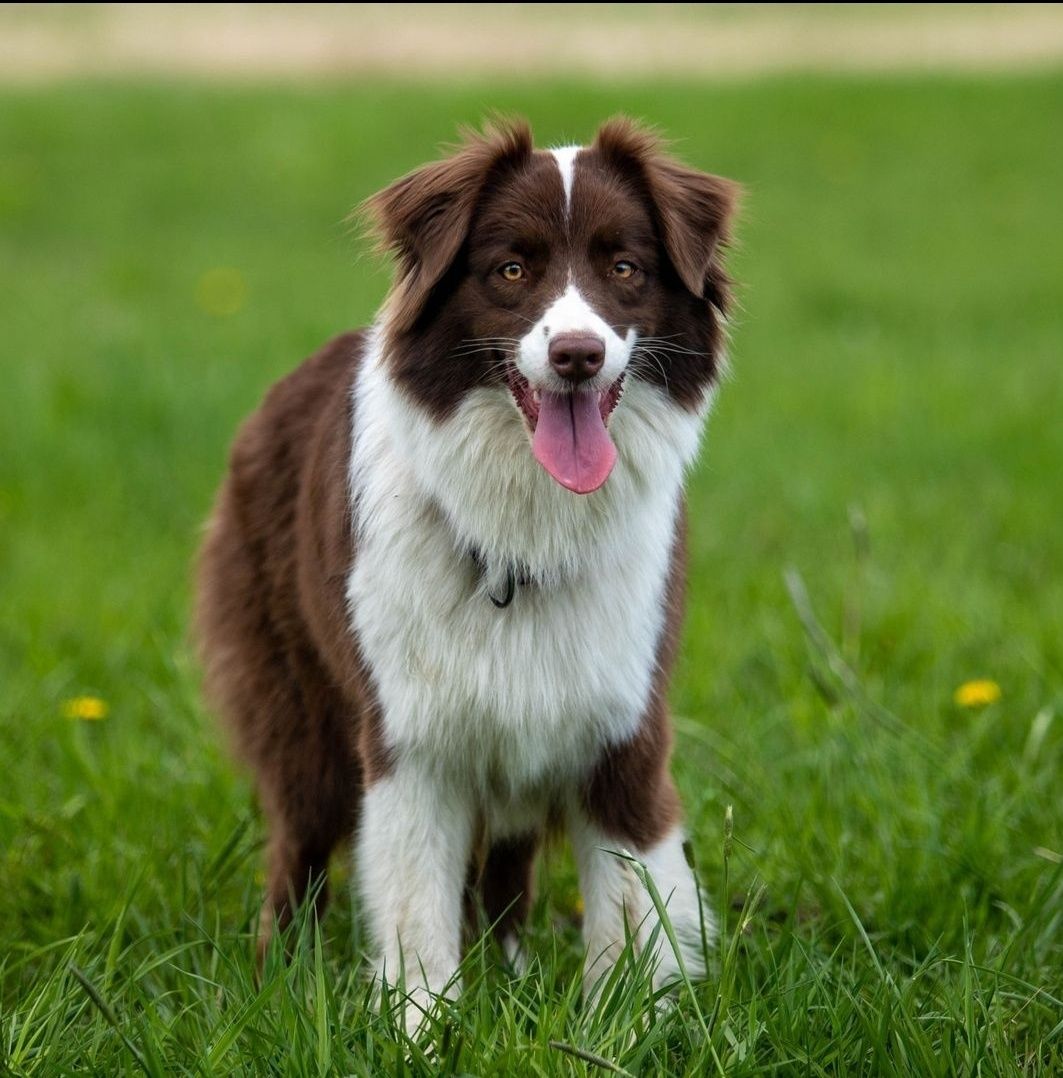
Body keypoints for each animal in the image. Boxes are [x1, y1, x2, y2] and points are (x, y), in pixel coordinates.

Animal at [192, 118, 737, 1017]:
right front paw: (425, 1025)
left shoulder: (622, 722)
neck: (525, 529)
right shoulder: (410, 737)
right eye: (510, 269)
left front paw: (626, 1023)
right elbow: (416, 912)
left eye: (624, 268)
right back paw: (277, 979)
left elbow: (635, 908)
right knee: (297, 845)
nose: (578, 355)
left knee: (505, 878)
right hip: (299, 712)